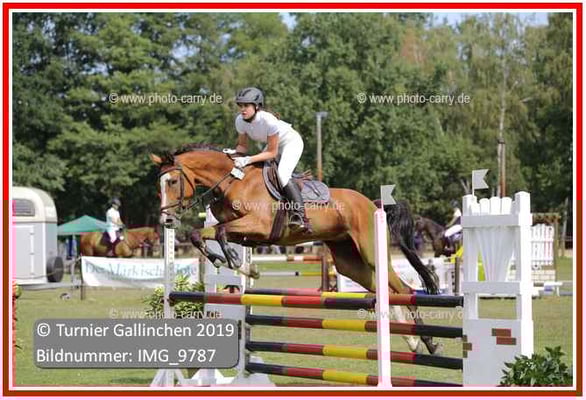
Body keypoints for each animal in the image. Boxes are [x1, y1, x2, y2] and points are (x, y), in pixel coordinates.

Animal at [150, 144, 444, 355]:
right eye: (158, 186)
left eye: (172, 182)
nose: (166, 221)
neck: (234, 182)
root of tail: (373, 203)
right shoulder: (241, 231)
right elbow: (199, 234)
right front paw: (227, 261)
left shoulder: (258, 225)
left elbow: (221, 233)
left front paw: (238, 262)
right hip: (349, 262)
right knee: (389, 289)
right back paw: (413, 341)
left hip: (370, 251)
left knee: (403, 288)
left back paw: (429, 342)